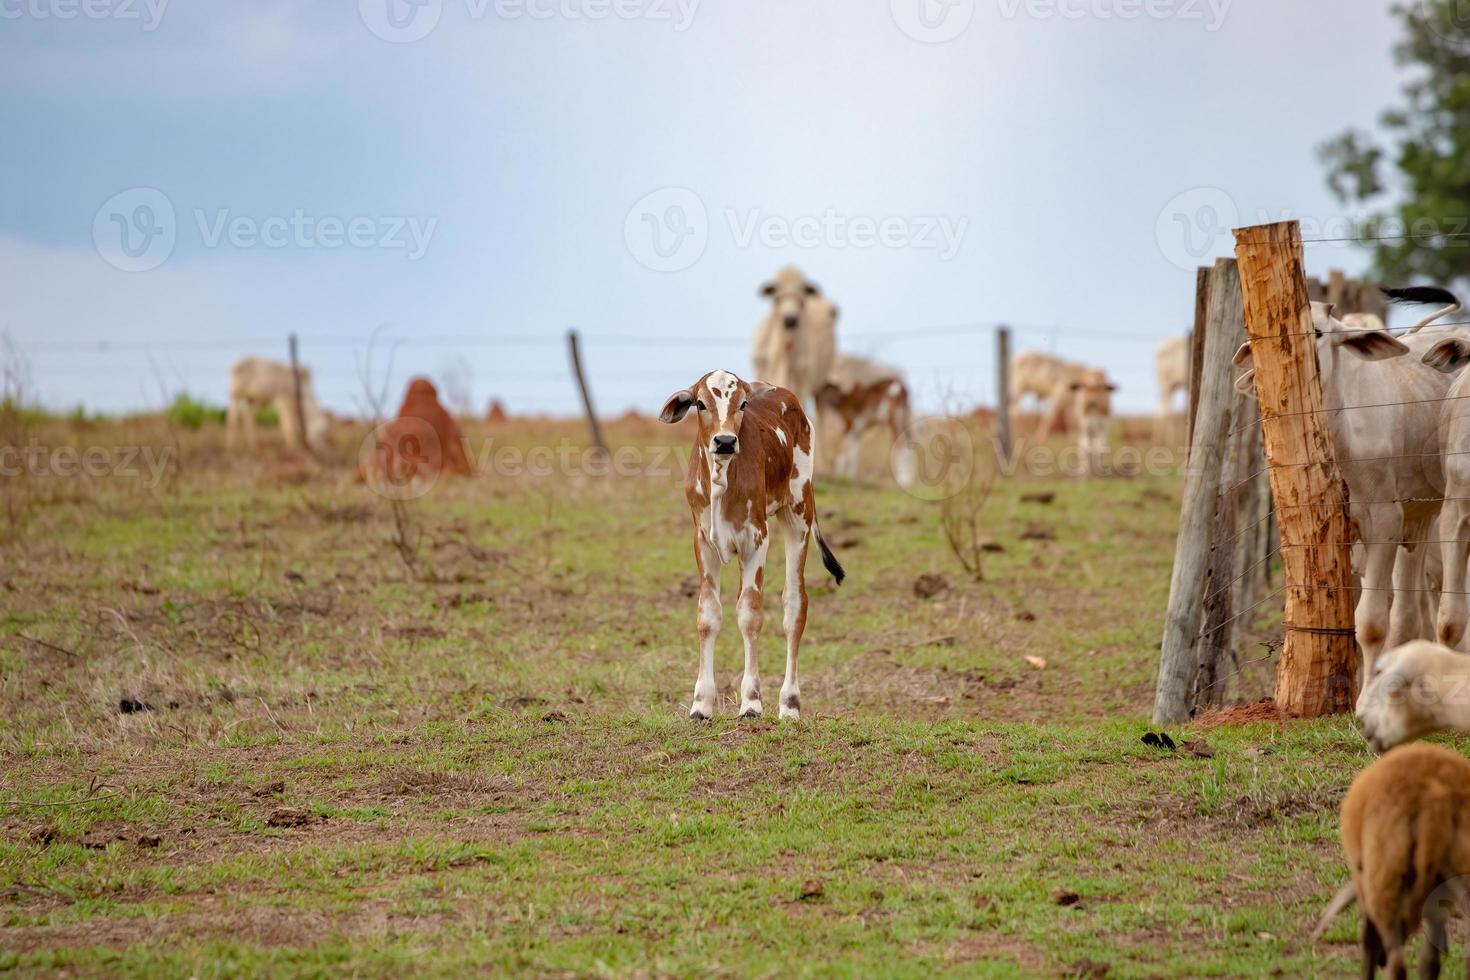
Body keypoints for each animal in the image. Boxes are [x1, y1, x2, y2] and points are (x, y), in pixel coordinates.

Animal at [661, 367, 846, 719]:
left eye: (743, 403)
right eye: (700, 404)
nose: (724, 441)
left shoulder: (757, 538)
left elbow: (750, 614)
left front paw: (751, 701)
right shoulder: (702, 541)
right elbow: (708, 615)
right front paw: (701, 703)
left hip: (798, 513)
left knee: (795, 605)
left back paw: (789, 703)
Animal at [823, 357, 911, 487]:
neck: (844, 399)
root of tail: (901, 387)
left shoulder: (848, 425)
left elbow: (844, 450)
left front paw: (839, 476)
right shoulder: (858, 430)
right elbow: (854, 454)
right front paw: (850, 477)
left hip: (893, 421)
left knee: (901, 446)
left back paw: (903, 481)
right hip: (904, 420)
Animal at [1234, 290, 1464, 690]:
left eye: (1318, 332)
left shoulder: (1384, 520)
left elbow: (1371, 623)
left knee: (1408, 613)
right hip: (1419, 517)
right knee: (1407, 613)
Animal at [1317, 746, 1470, 975]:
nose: (1382, 960)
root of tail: (1434, 803)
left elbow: (1368, 939)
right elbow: (1430, 962)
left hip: (1384, 878)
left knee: (1396, 962)